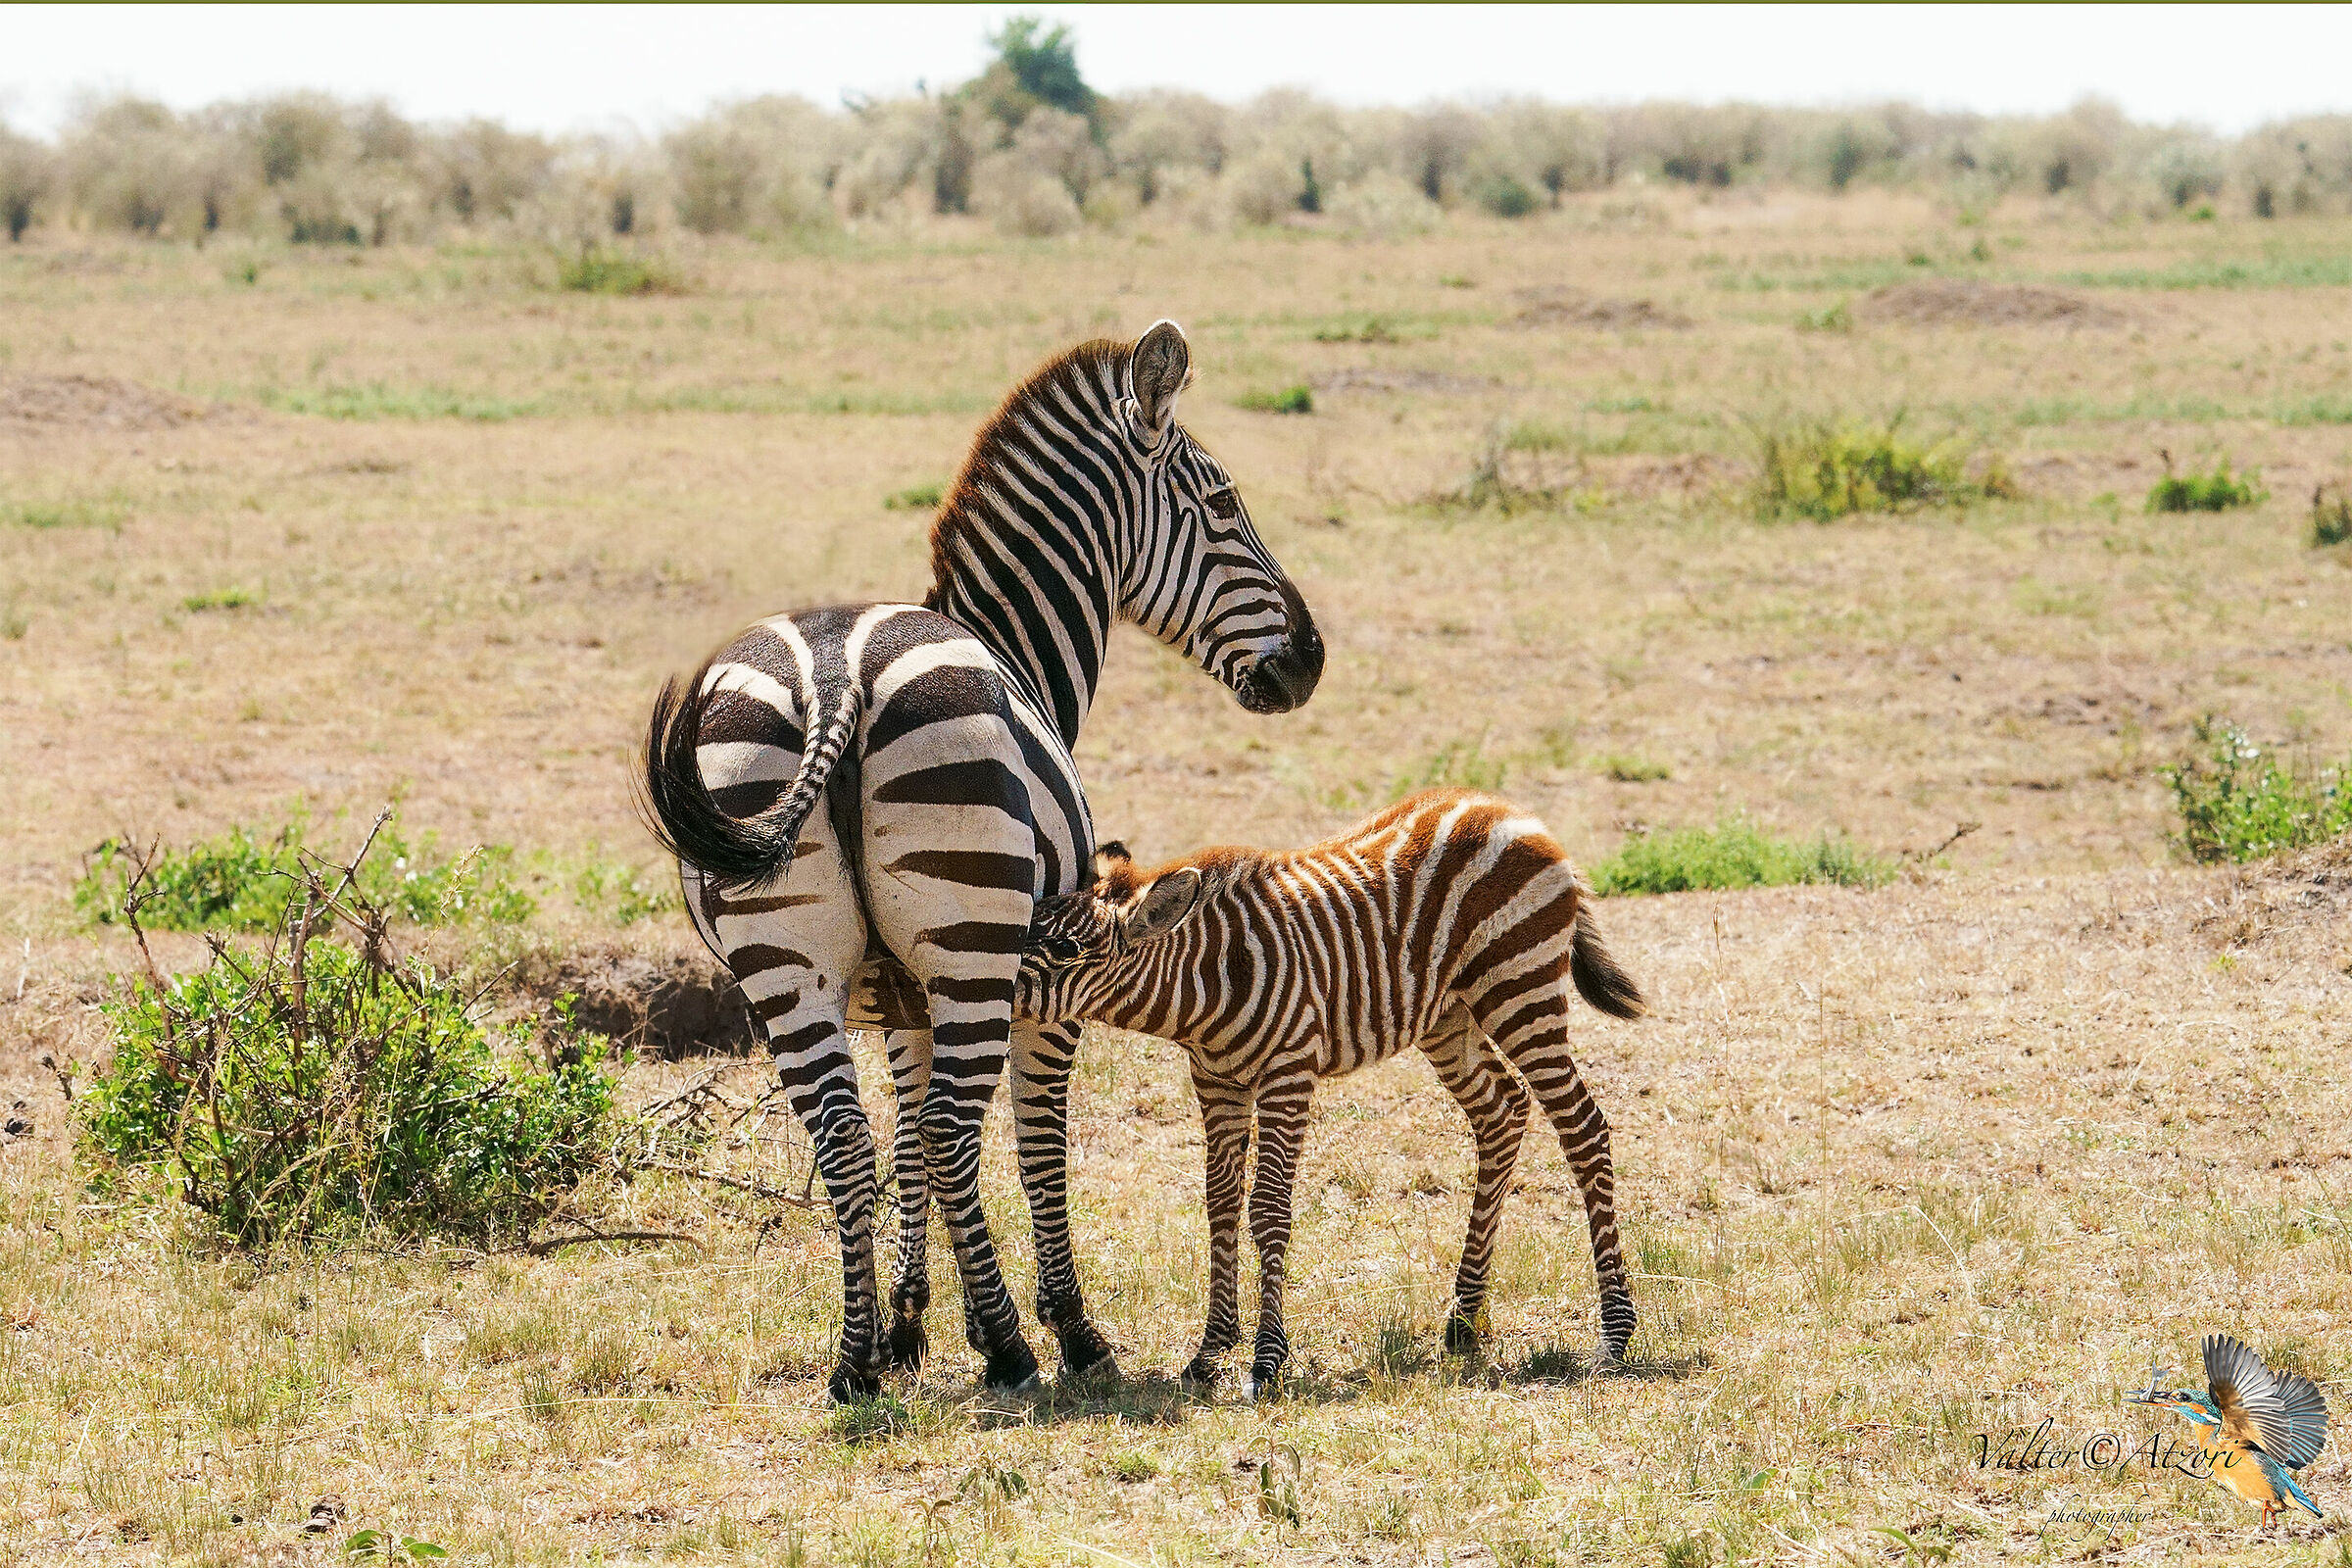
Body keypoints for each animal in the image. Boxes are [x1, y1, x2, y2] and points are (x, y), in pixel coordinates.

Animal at [639, 321, 1325, 1402]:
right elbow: (1032, 1141)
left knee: (847, 1138)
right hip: (967, 943)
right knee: (960, 1131)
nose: (1310, 660)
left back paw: (853, 1363)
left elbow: (906, 1129)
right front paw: (1064, 1325)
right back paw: (1012, 1349)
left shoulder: (897, 995)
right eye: (1222, 503)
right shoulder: (1052, 976)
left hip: (786, 962)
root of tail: (835, 673)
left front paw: (909, 1322)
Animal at [1014, 788, 1647, 1391]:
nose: (998, 989)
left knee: (1583, 1127)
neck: (1207, 981)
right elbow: (1221, 1203)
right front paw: (1211, 1350)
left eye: (1068, 952)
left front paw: (1266, 1361)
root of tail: (1514, 813)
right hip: (1448, 1015)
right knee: (1502, 1111)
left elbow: (1268, 1209)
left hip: (1519, 986)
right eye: (1029, 928)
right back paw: (1464, 1321)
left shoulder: (1287, 1073)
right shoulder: (1217, 1080)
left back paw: (1615, 1334)